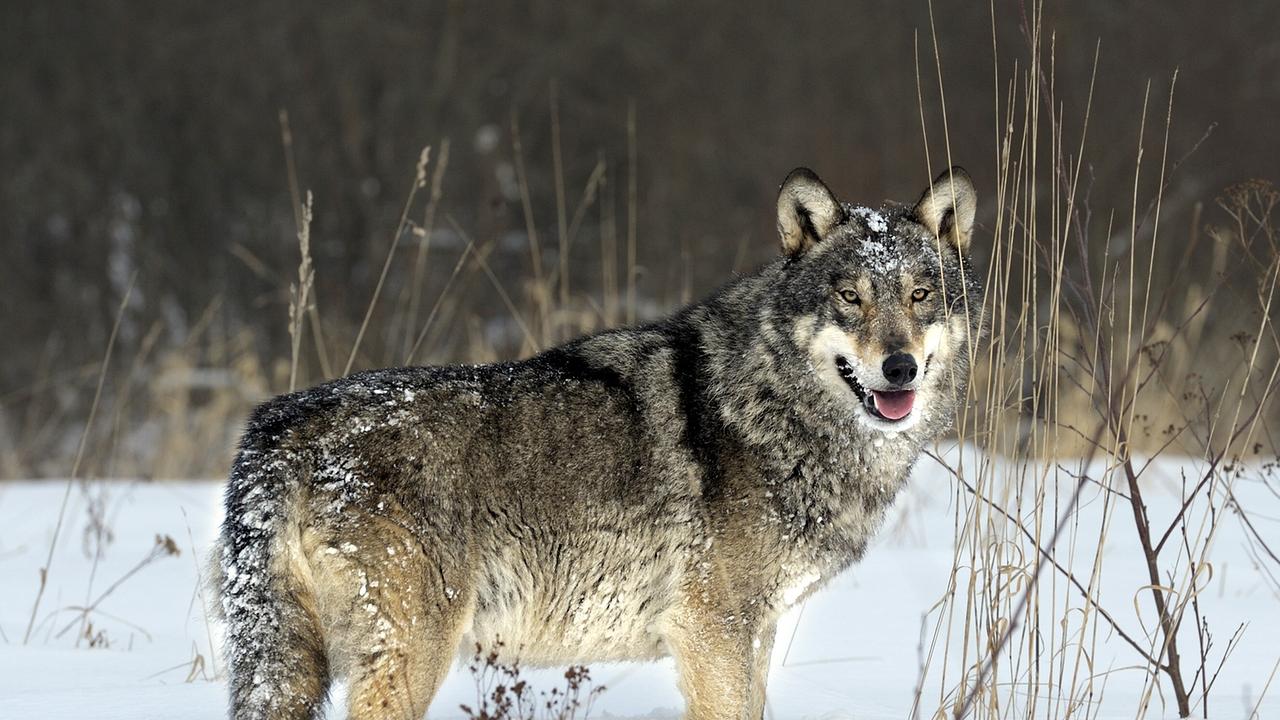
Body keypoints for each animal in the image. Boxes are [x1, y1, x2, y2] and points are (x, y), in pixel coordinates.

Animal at [216, 167, 983, 719]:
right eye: (850, 297)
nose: (900, 368)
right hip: (410, 655)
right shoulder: (714, 632)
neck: (767, 405)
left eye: (920, 296)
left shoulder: (755, 632)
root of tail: (277, 425)